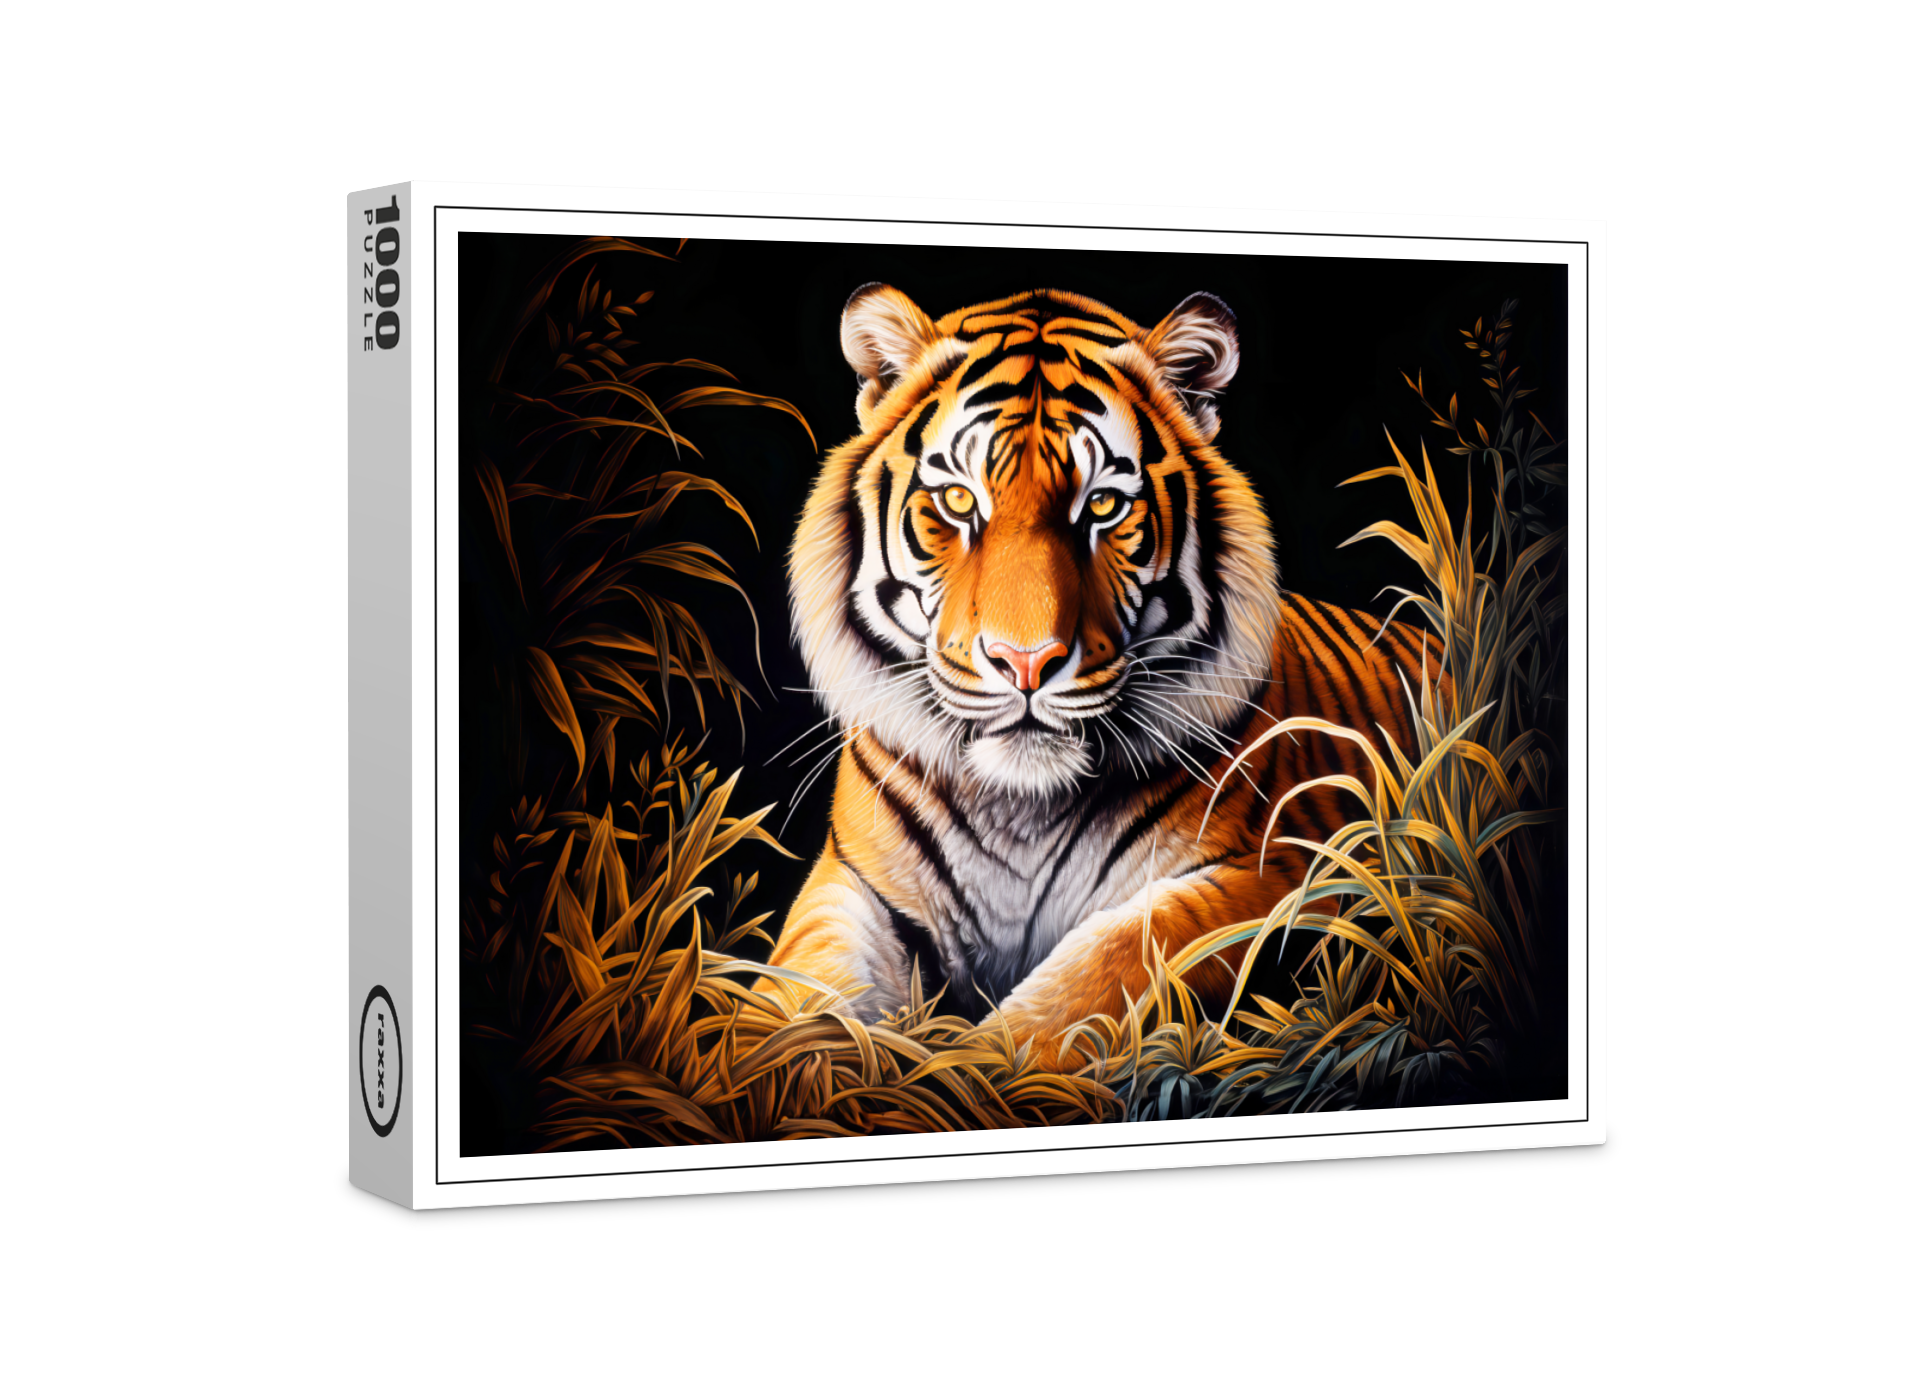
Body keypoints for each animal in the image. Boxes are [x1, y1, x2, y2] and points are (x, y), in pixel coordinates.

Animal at [763, 284, 1443, 1071]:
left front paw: (968, 1072)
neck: (1018, 808)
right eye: (960, 502)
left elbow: (1102, 970)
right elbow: (798, 993)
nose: (1025, 662)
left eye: (1103, 506)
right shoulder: (851, 884)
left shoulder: (1285, 871)